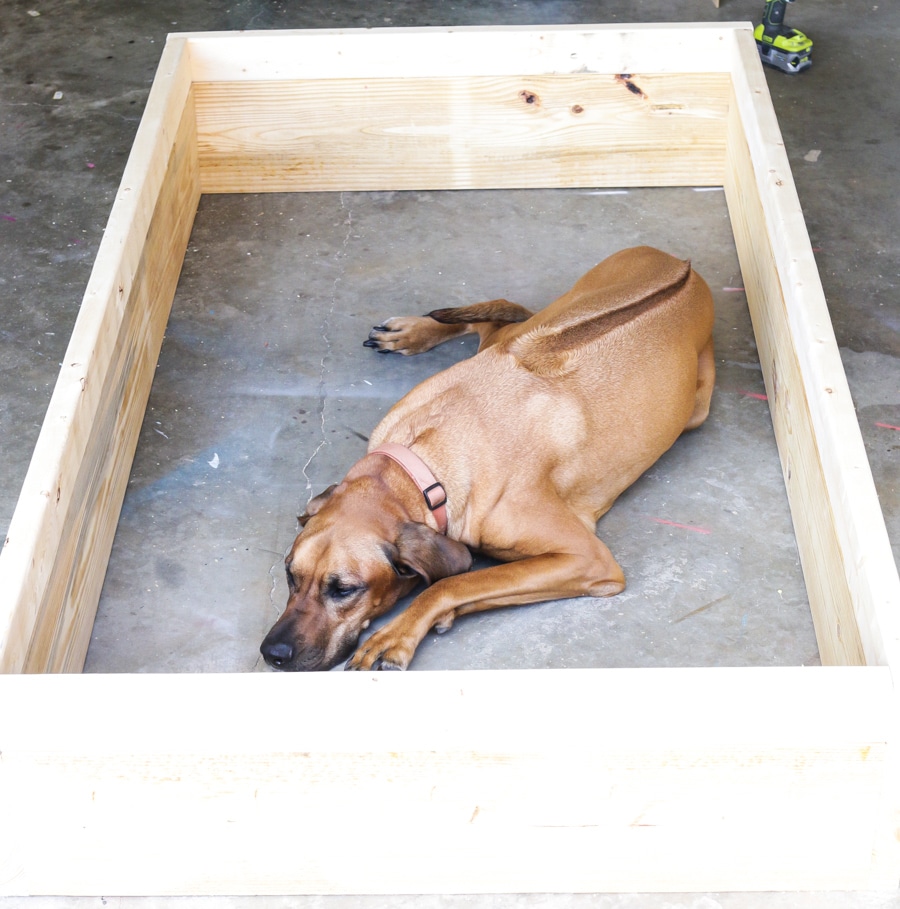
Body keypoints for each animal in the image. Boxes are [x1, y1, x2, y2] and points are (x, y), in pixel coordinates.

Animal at [258, 245, 712, 672]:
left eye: (344, 589)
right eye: (290, 575)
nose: (272, 653)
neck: (420, 466)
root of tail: (680, 263)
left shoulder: (588, 559)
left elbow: (452, 583)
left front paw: (399, 634)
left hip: (696, 411)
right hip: (539, 324)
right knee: (503, 317)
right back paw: (413, 331)